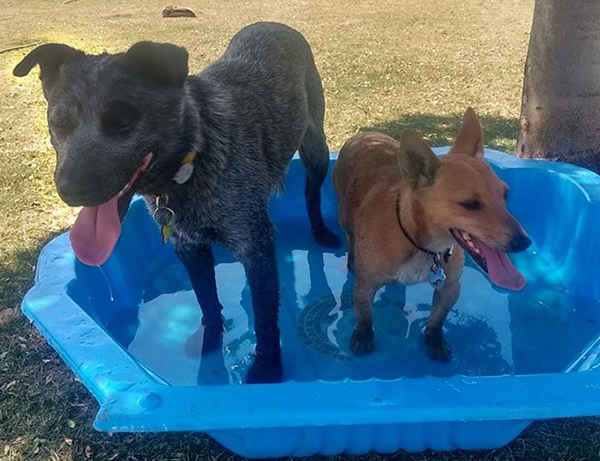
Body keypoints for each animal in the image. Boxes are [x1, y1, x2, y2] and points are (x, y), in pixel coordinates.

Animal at [14, 22, 340, 380]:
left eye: (122, 123)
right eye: (60, 124)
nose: (70, 191)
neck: (195, 152)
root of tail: (273, 24)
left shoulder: (256, 245)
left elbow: (266, 319)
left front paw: (267, 368)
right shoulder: (189, 247)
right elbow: (208, 304)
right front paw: (210, 343)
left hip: (316, 148)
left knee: (311, 195)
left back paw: (321, 232)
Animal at [336, 108, 532, 360]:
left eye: (505, 194)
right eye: (470, 204)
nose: (524, 242)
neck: (420, 244)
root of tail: (364, 135)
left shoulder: (450, 287)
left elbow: (437, 320)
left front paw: (434, 340)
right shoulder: (364, 285)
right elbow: (364, 316)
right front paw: (363, 336)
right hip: (344, 216)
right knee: (349, 237)